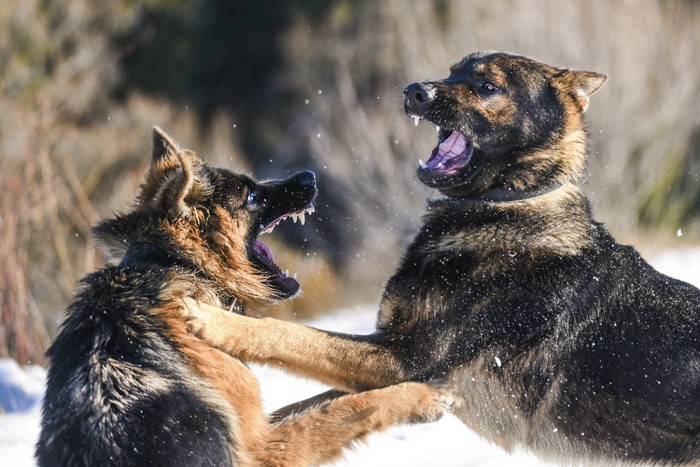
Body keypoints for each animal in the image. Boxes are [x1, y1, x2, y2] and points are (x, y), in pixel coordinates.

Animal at [34, 127, 454, 467]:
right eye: (252, 194)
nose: (309, 175)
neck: (175, 265)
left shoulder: (257, 423)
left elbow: (321, 400)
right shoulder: (261, 448)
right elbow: (344, 410)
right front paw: (420, 398)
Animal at [182, 50, 700, 464]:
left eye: (488, 86)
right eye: (454, 71)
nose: (414, 91)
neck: (504, 206)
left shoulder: (401, 359)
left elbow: (290, 335)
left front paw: (213, 322)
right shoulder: (390, 361)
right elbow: (305, 410)